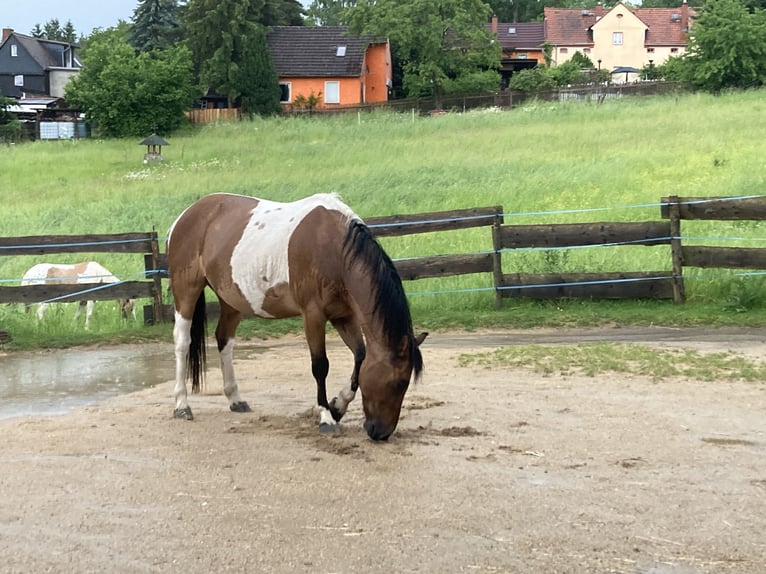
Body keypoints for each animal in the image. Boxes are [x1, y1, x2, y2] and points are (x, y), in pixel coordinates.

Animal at [167, 192, 427, 441]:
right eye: (399, 383)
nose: (381, 433)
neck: (334, 250)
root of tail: (185, 215)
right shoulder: (313, 315)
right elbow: (320, 366)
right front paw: (326, 417)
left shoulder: (344, 315)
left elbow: (360, 356)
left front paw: (338, 406)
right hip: (186, 289)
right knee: (182, 343)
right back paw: (182, 405)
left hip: (231, 298)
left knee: (224, 340)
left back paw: (235, 399)